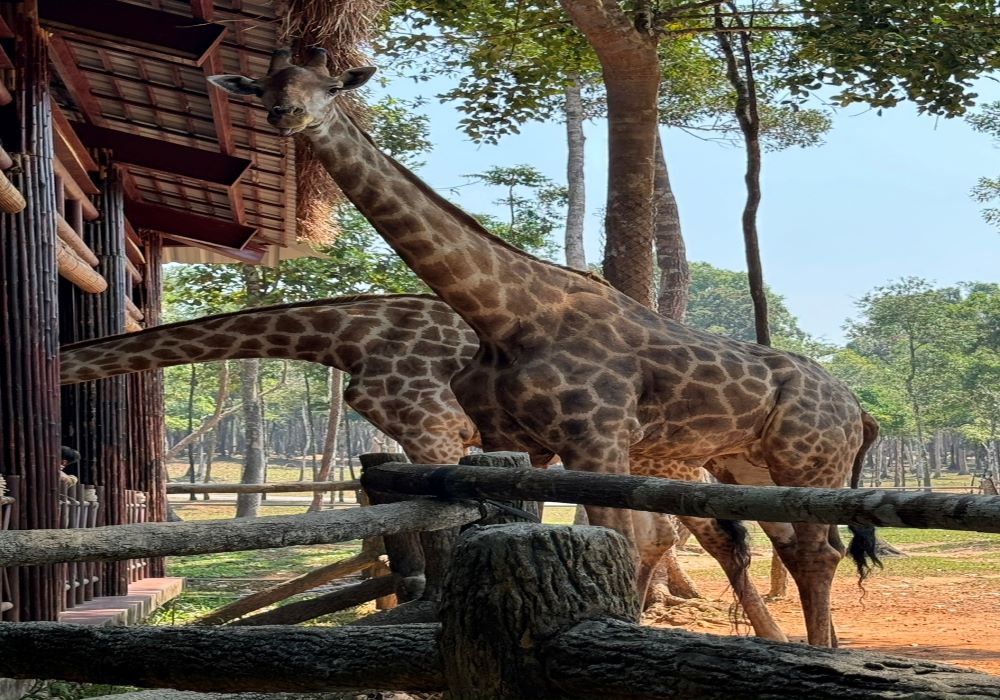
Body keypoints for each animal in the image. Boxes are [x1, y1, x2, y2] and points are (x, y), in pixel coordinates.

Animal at [209, 52, 876, 648]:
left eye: (330, 86)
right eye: (264, 86)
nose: (287, 115)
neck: (504, 316)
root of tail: (861, 413)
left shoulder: (597, 440)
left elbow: (624, 544)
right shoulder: (509, 439)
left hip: (810, 461)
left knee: (816, 551)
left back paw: (820, 652)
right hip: (747, 462)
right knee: (795, 544)